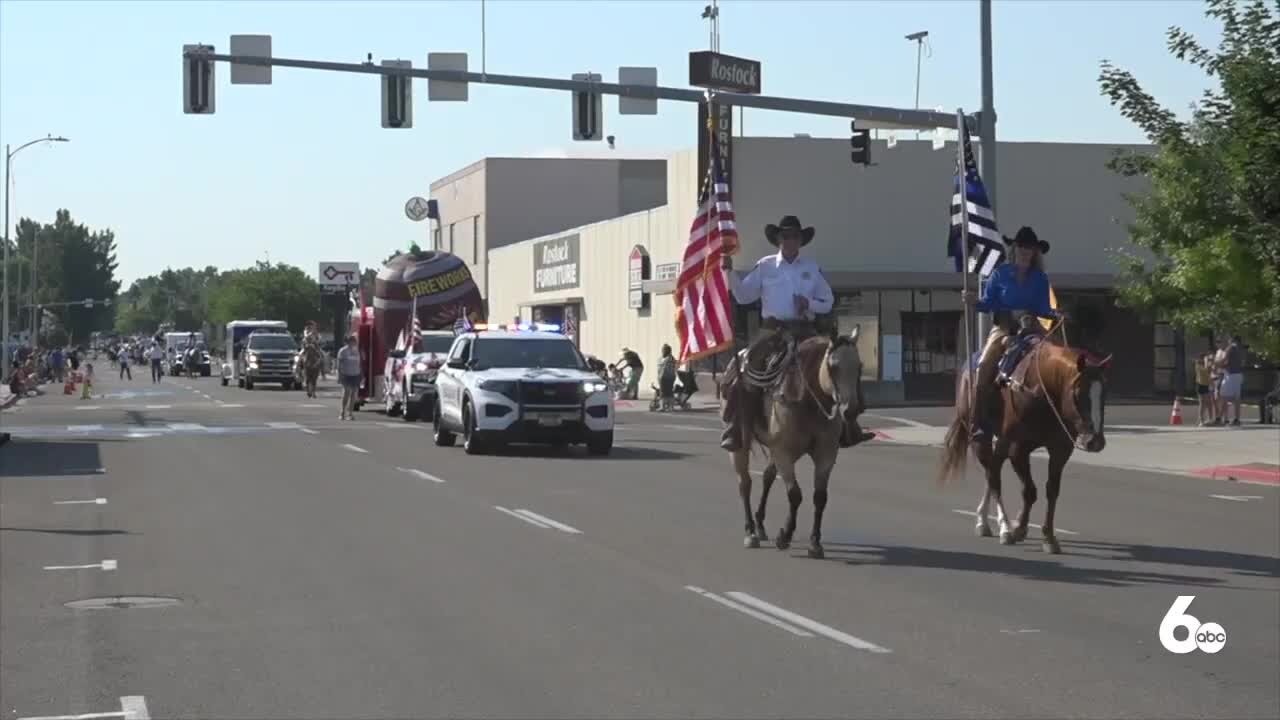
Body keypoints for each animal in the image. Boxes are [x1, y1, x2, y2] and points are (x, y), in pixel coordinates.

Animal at [737, 327, 865, 558]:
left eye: (859, 366)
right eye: (833, 367)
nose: (850, 411)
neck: (807, 401)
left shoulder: (826, 454)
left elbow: (820, 497)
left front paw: (815, 543)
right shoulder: (784, 452)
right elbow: (795, 495)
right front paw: (785, 536)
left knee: (767, 477)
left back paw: (759, 525)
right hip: (741, 446)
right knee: (745, 484)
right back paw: (750, 531)